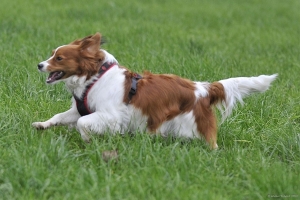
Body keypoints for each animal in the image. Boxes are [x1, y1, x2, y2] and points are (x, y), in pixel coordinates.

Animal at [32, 32, 276, 148]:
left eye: (59, 58)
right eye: (52, 54)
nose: (39, 65)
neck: (96, 77)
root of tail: (204, 89)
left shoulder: (110, 115)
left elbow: (83, 123)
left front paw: (88, 140)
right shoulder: (79, 109)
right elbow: (59, 116)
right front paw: (42, 125)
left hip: (193, 129)